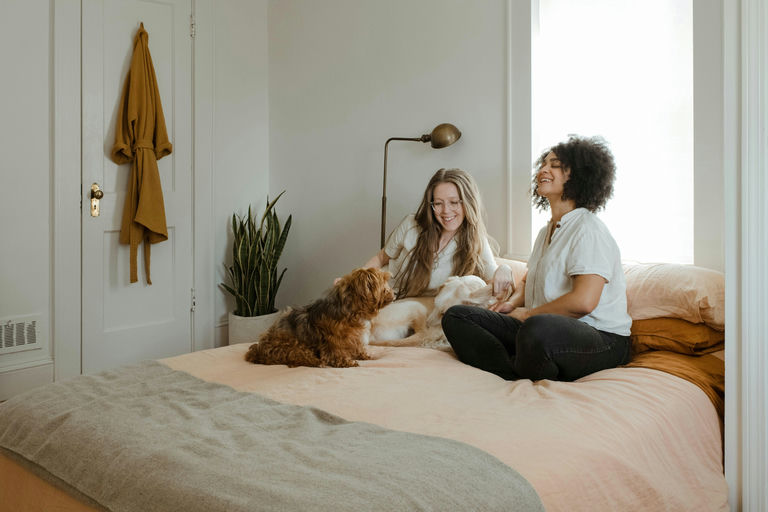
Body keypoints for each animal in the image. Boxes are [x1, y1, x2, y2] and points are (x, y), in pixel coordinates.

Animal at [246, 268, 396, 368]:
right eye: (383, 282)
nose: (395, 292)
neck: (351, 311)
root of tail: (258, 350)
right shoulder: (333, 340)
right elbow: (335, 352)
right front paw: (346, 361)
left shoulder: (354, 338)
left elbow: (357, 347)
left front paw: (364, 356)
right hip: (291, 345)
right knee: (298, 356)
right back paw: (317, 361)